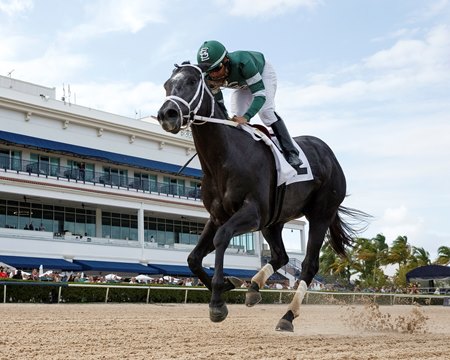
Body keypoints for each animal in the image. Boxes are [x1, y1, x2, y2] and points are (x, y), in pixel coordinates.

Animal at [156, 62, 368, 332]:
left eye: (192, 82)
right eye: (167, 84)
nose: (167, 114)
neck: (225, 158)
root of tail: (329, 154)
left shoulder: (252, 213)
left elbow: (222, 238)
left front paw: (218, 302)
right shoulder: (217, 216)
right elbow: (193, 258)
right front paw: (229, 284)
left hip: (320, 215)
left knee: (308, 264)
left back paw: (287, 316)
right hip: (274, 221)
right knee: (282, 256)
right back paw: (255, 287)